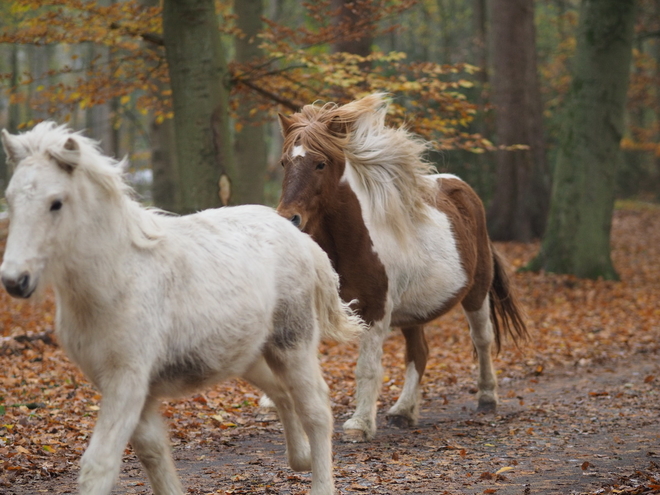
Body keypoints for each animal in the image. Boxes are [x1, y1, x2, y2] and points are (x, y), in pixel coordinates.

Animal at [0, 123, 364, 495]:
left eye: (56, 203)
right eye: (10, 200)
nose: (15, 280)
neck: (118, 278)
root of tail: (302, 239)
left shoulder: (127, 380)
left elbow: (99, 465)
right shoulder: (130, 388)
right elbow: (153, 453)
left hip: (293, 344)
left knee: (316, 409)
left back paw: (319, 480)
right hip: (247, 355)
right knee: (282, 394)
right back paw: (300, 458)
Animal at [274, 95, 524, 444]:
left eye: (320, 163)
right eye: (285, 163)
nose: (289, 218)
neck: (351, 240)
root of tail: (462, 189)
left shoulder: (375, 310)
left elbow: (367, 368)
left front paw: (359, 425)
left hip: (476, 292)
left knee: (482, 339)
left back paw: (487, 398)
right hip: (414, 312)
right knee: (419, 353)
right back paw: (403, 412)